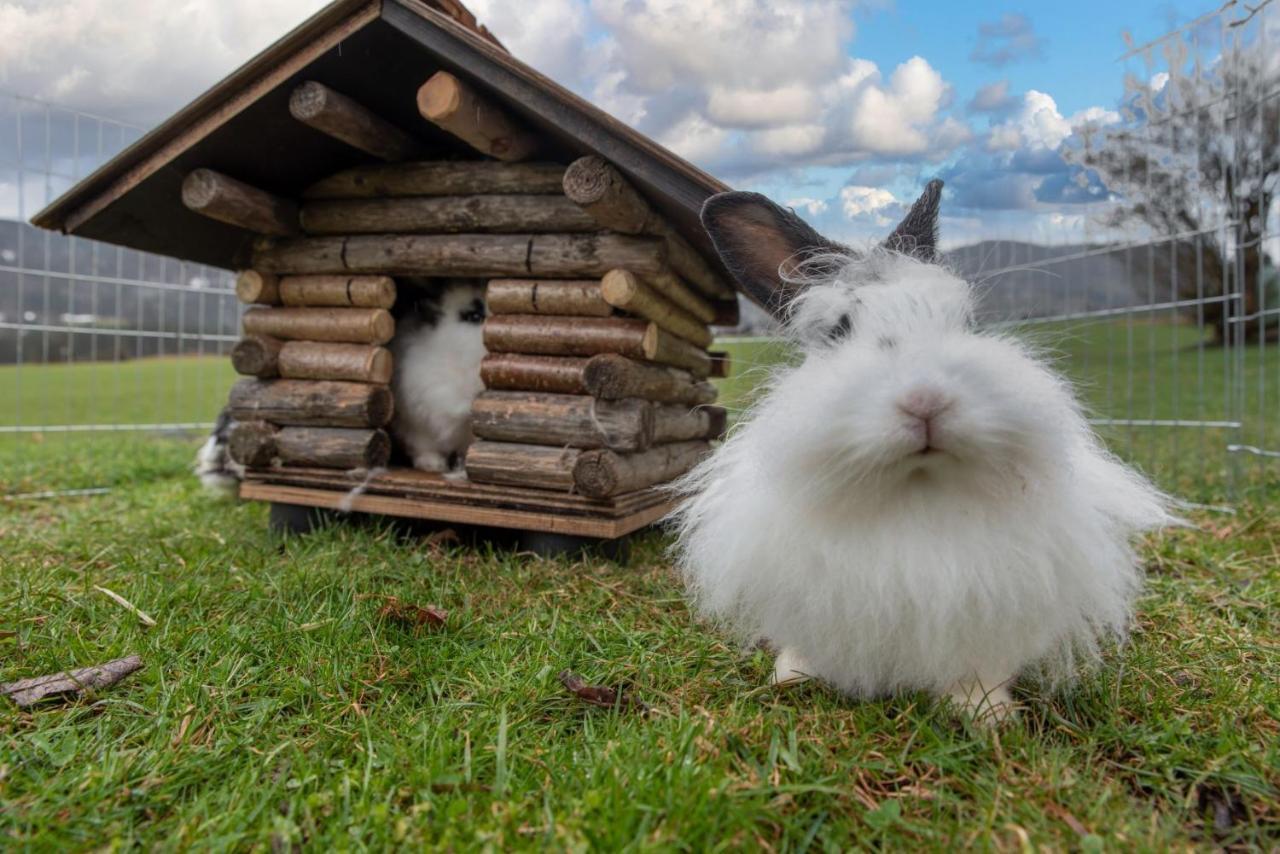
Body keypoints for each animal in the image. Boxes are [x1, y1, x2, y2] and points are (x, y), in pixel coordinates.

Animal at [670, 181, 1177, 722]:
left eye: (969, 321)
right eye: (839, 330)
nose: (926, 400)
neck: (914, 484)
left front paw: (987, 713)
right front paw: (793, 675)